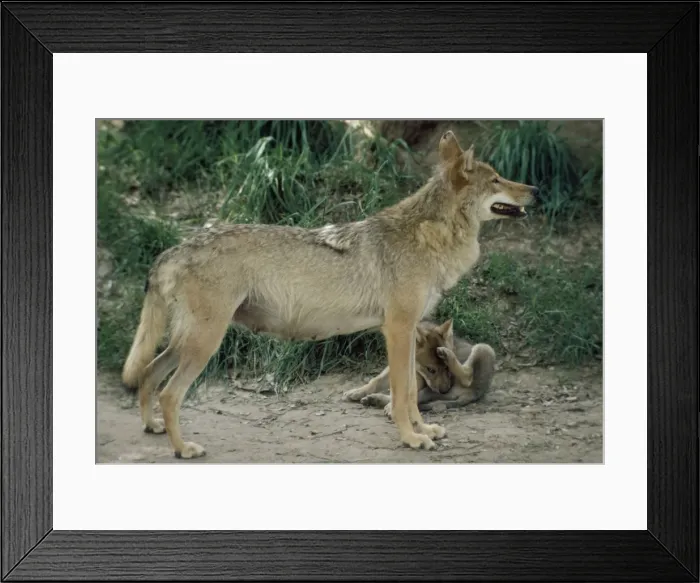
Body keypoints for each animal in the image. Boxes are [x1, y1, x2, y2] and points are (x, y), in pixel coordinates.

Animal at [121, 130, 538, 458]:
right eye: (497, 180)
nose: (535, 189)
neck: (429, 238)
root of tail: (177, 248)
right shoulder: (396, 330)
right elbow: (401, 393)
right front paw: (410, 439)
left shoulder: (410, 335)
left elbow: (409, 393)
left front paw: (424, 431)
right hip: (205, 342)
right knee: (169, 393)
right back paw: (182, 448)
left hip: (187, 342)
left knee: (147, 374)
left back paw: (152, 427)